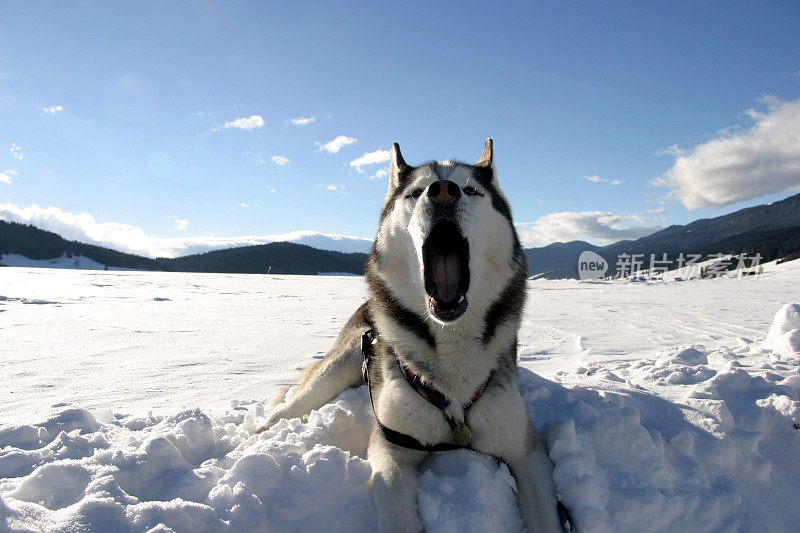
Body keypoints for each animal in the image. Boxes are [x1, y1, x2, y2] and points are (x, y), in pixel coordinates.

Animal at [256, 139, 564, 528]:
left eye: (471, 190)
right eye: (416, 192)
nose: (443, 191)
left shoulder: (524, 449)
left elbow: (546, 516)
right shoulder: (392, 447)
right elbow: (398, 512)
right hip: (341, 365)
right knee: (293, 404)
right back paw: (258, 432)